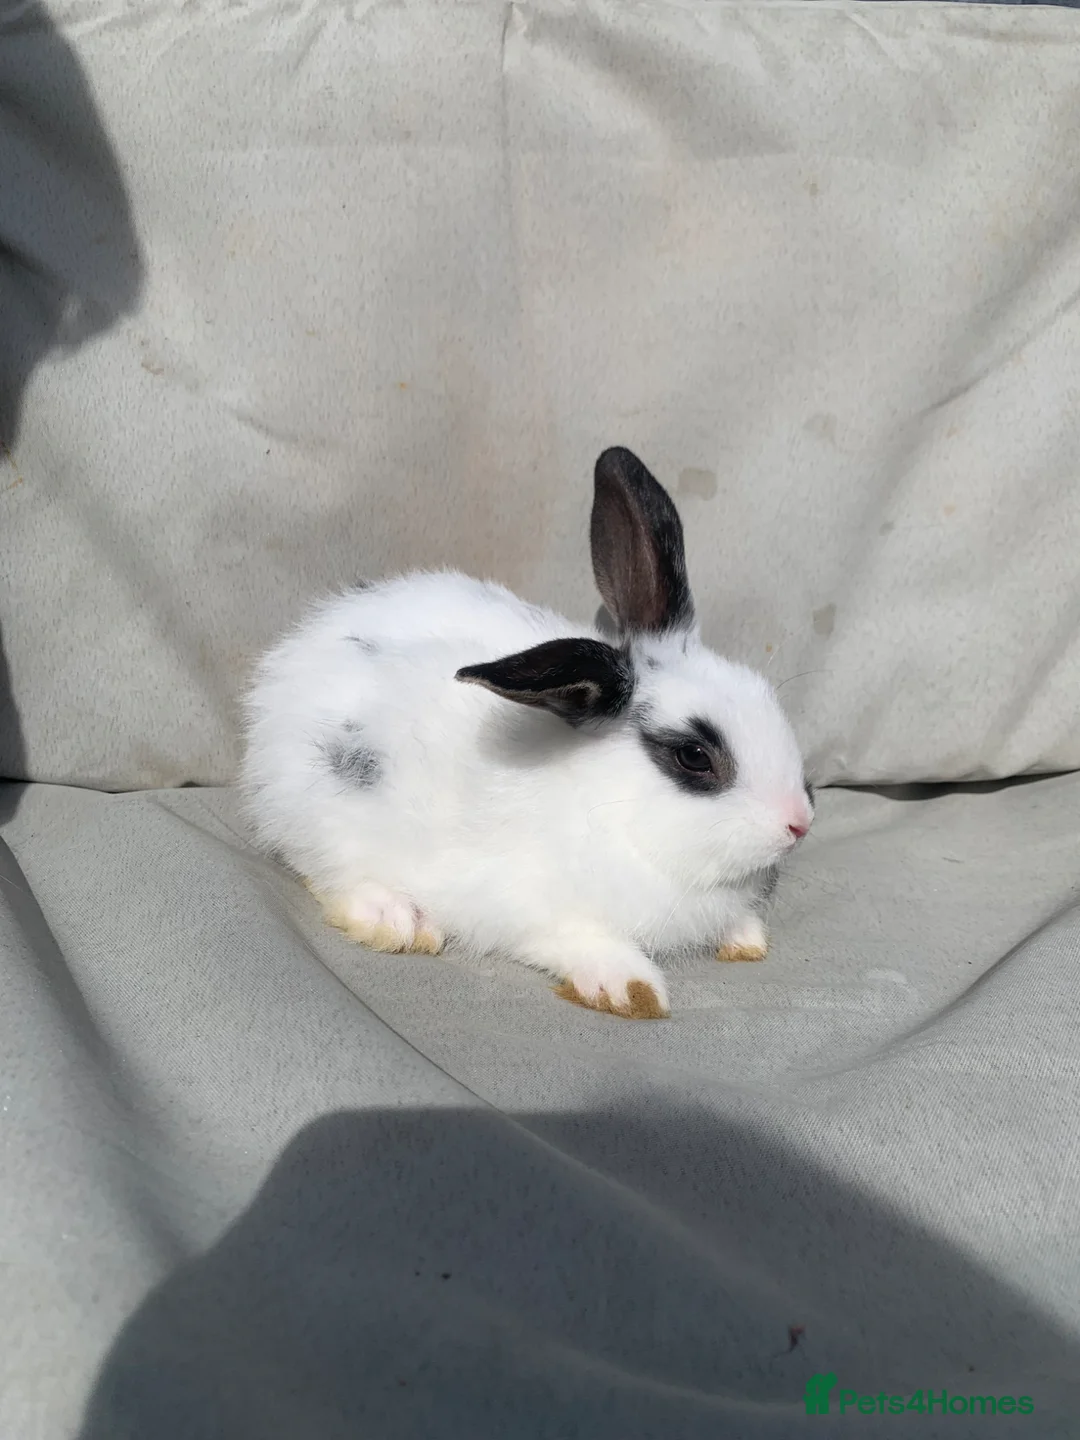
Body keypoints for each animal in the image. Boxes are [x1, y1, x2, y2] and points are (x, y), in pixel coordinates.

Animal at [240, 446, 813, 1020]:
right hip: (326, 807)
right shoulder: (529, 906)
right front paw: (630, 990)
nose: (800, 824)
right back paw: (397, 921)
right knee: (326, 868)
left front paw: (746, 940)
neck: (610, 806)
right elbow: (581, 939)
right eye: (693, 756)